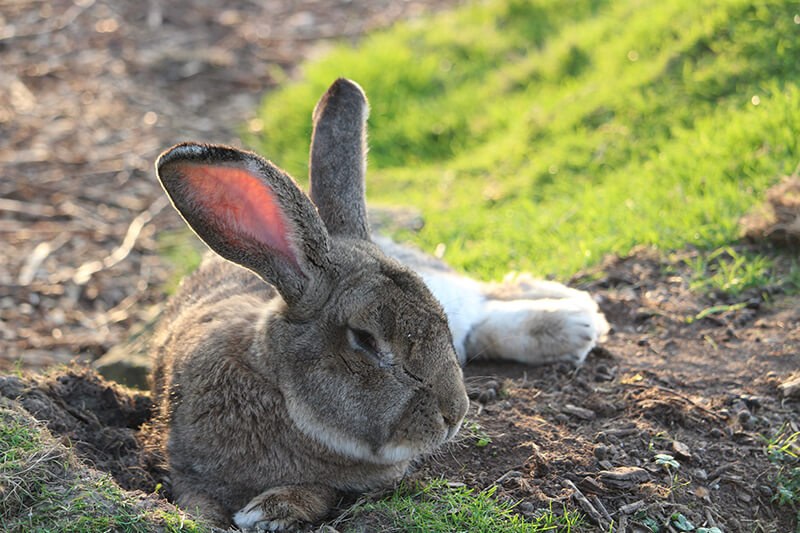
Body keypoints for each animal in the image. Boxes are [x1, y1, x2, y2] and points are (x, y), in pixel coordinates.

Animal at [150, 78, 470, 530]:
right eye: (365, 340)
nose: (453, 414)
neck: (280, 391)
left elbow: (324, 490)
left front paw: (271, 509)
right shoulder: (186, 468)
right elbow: (197, 500)